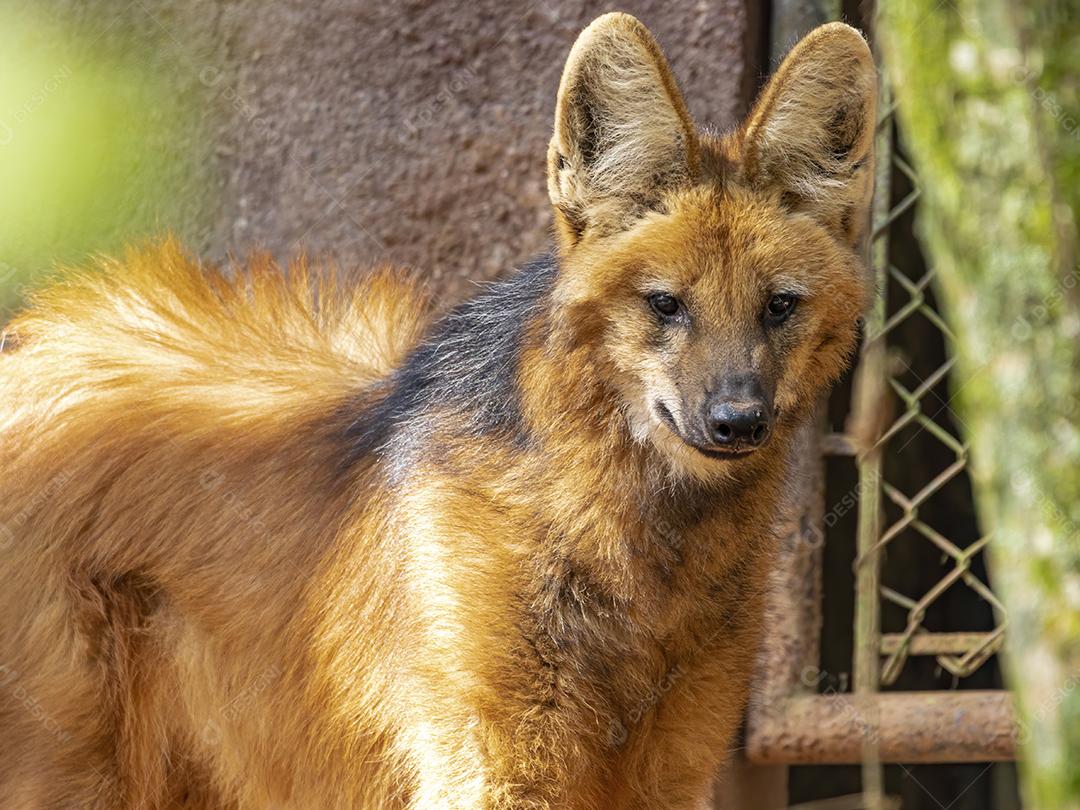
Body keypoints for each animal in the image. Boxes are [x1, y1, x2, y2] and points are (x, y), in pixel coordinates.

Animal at [0, 13, 875, 809]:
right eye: (666, 304)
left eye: (779, 307)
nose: (736, 420)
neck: (637, 550)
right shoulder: (499, 763)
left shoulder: (670, 764)